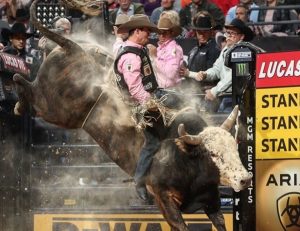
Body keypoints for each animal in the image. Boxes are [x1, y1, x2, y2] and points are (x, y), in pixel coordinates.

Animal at [13, 0, 253, 231]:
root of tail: (74, 48)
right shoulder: (164, 199)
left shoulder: (211, 201)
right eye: (214, 154)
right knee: (25, 85)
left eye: (234, 148)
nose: (244, 179)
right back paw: (18, 100)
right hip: (54, 107)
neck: (185, 157)